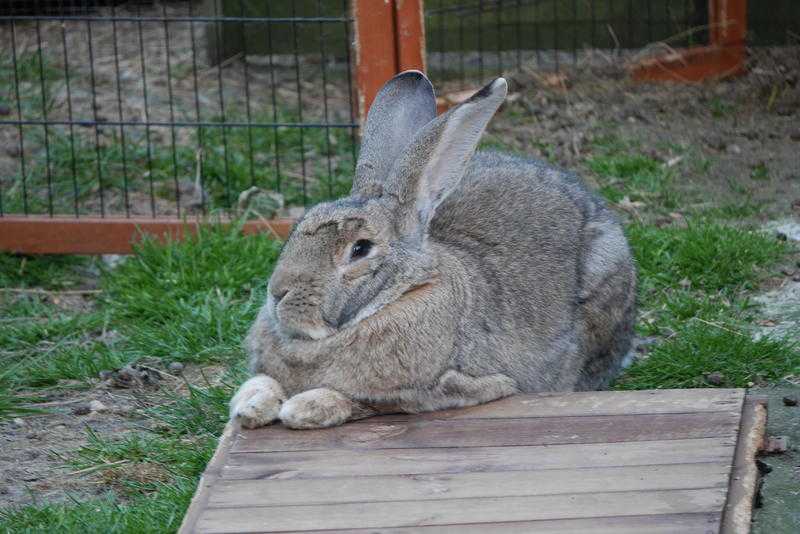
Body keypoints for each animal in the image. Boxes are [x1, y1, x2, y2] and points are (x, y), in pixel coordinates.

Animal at [228, 71, 636, 432]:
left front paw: (306, 407)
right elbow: (262, 382)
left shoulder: (445, 388)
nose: (277, 293)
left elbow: (367, 402)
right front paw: (250, 405)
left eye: (360, 249)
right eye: (299, 226)